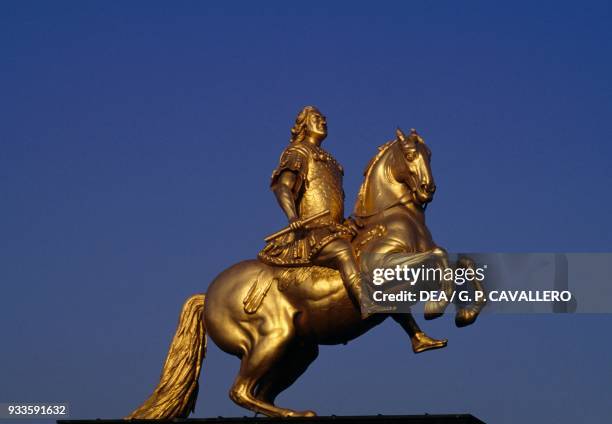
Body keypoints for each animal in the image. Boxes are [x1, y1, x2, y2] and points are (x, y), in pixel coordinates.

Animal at [126, 127, 486, 420]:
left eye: (430, 154)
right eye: (410, 155)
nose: (428, 189)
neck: (392, 219)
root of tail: (208, 295)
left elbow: (463, 263)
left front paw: (463, 316)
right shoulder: (384, 269)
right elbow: (440, 257)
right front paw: (437, 307)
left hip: (299, 351)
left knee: (259, 392)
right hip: (272, 338)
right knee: (239, 391)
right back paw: (294, 414)